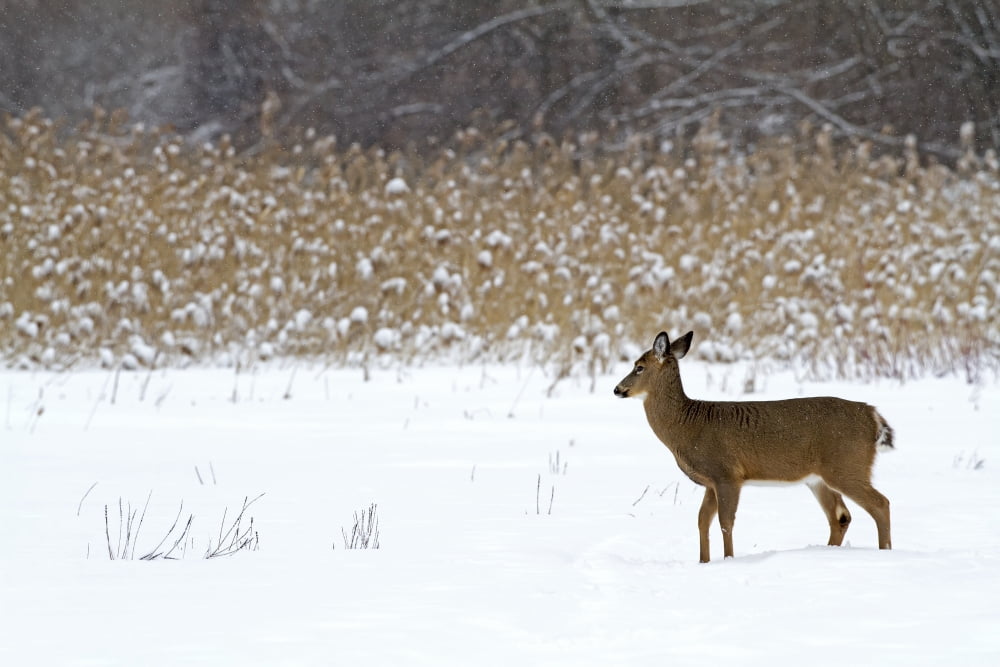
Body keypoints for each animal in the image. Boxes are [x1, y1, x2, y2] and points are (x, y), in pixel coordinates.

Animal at [614, 330, 893, 563]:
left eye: (639, 367)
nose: (617, 389)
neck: (687, 426)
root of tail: (873, 416)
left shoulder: (727, 474)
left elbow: (726, 522)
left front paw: (728, 560)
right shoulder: (711, 482)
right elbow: (702, 521)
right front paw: (703, 562)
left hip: (846, 466)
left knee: (881, 503)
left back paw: (886, 553)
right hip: (818, 478)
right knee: (841, 516)